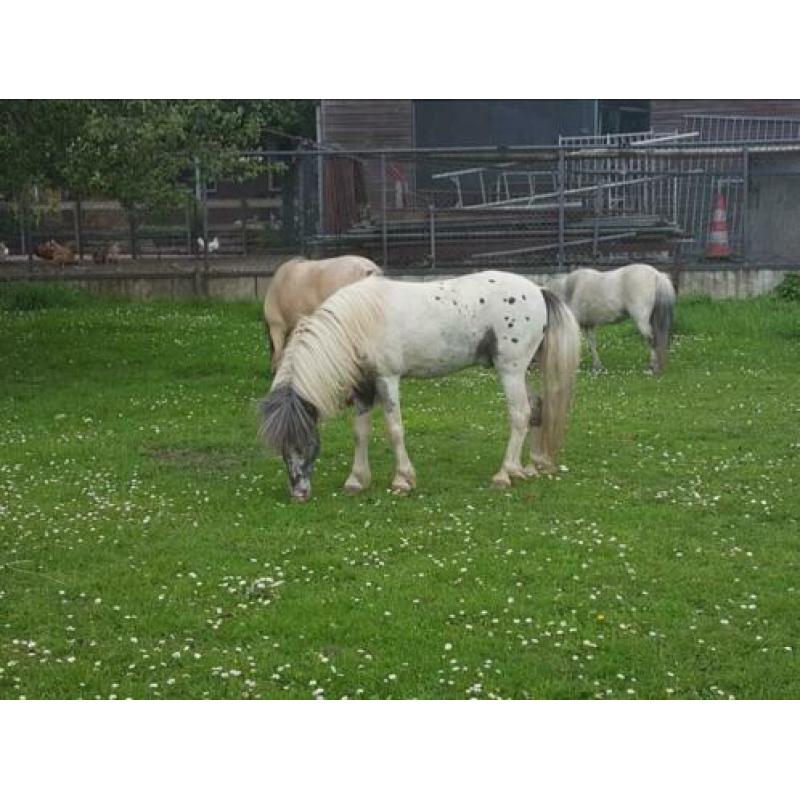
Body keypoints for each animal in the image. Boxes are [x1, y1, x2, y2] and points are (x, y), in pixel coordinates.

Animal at [259, 270, 581, 502]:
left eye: (304, 440)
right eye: (282, 446)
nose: (299, 493)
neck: (358, 323)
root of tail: (538, 291)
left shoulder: (387, 380)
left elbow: (394, 429)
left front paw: (403, 479)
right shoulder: (364, 388)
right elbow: (360, 433)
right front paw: (357, 480)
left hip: (510, 370)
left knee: (520, 414)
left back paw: (506, 473)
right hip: (523, 371)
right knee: (537, 408)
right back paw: (533, 466)